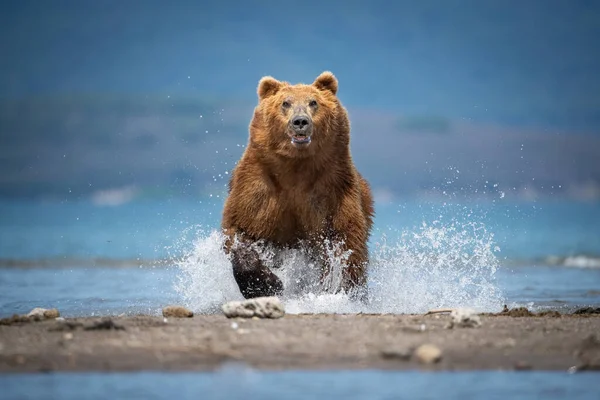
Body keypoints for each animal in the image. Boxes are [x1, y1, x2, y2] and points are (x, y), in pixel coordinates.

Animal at [220, 72, 372, 298]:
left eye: (313, 102)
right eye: (285, 102)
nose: (300, 121)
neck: (295, 168)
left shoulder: (333, 187)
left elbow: (345, 239)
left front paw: (337, 286)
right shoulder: (258, 187)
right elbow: (240, 229)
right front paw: (265, 285)